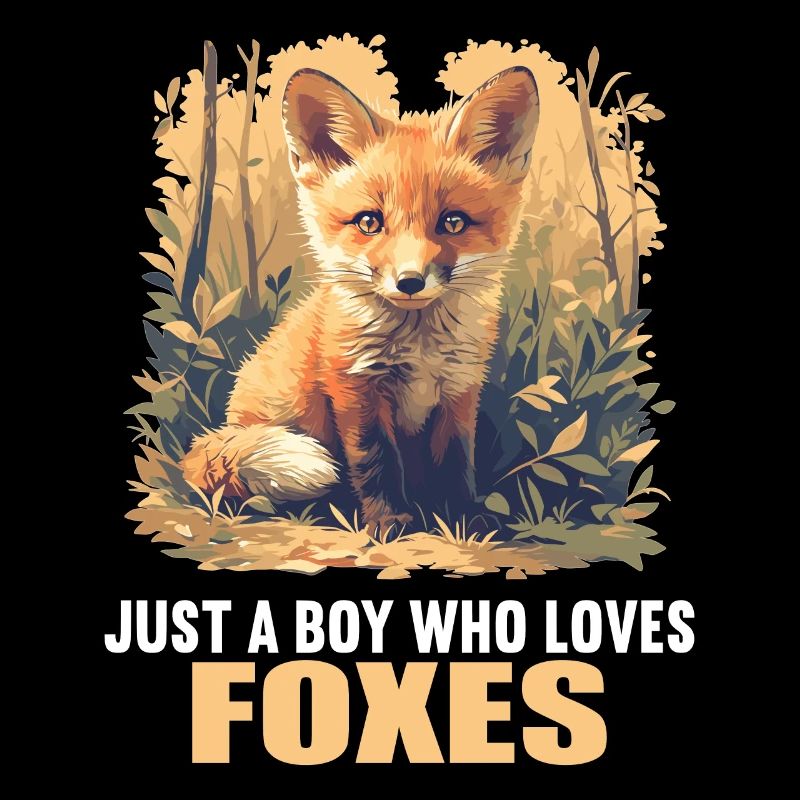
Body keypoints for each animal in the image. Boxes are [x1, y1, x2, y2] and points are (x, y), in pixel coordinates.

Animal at [183, 66, 540, 531]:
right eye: (369, 222)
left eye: (453, 222)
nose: (410, 281)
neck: (419, 348)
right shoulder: (355, 387)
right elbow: (376, 463)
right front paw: (390, 524)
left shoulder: (459, 389)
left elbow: (456, 464)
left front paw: (463, 522)